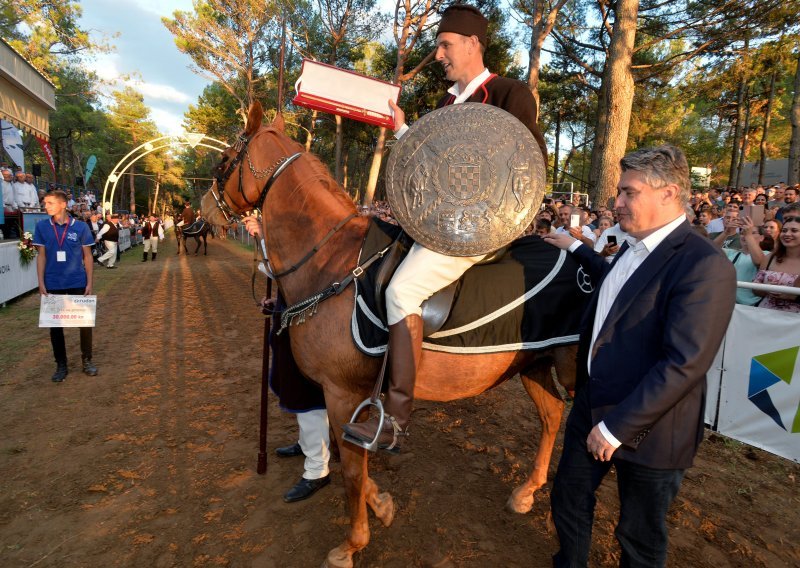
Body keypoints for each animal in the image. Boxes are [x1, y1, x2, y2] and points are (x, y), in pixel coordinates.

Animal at [200, 103, 576, 568]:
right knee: (552, 416)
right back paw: (526, 492)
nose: (203, 210)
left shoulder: (342, 393)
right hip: (536, 364)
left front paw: (352, 543)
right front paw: (380, 505)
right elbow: (350, 459)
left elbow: (351, 470)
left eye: (224, 160)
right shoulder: (344, 396)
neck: (330, 261)